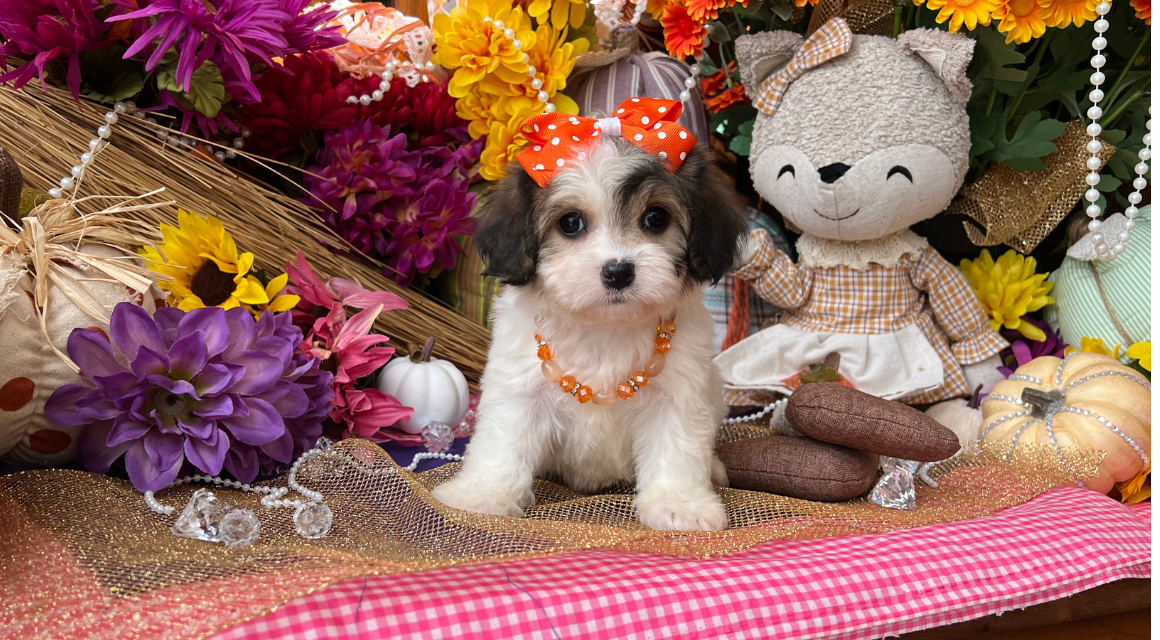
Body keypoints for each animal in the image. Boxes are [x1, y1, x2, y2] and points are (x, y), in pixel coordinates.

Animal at [431, 114, 747, 531]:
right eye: (570, 223)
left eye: (656, 218)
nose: (618, 271)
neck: (604, 328)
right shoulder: (519, 390)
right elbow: (504, 440)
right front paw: (481, 493)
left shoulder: (679, 392)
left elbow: (676, 447)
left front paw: (679, 504)